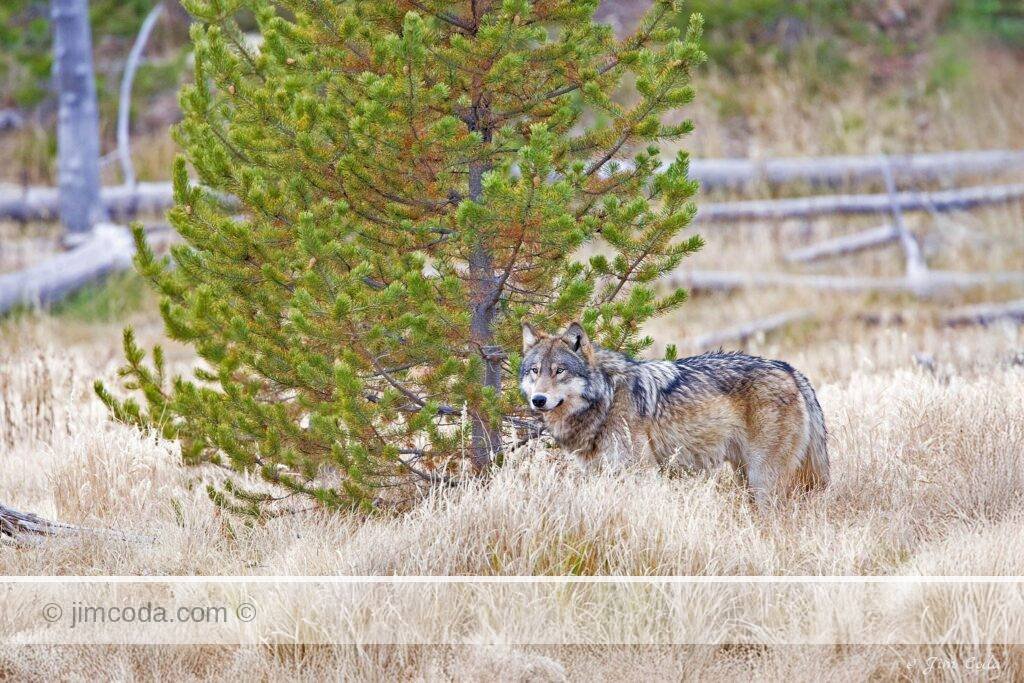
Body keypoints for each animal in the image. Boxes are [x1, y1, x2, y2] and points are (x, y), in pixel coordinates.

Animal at [519, 321, 829, 505]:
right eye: (535, 370)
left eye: (560, 371)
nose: (538, 400)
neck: (606, 398)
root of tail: (790, 370)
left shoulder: (642, 473)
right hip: (744, 475)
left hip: (762, 478)